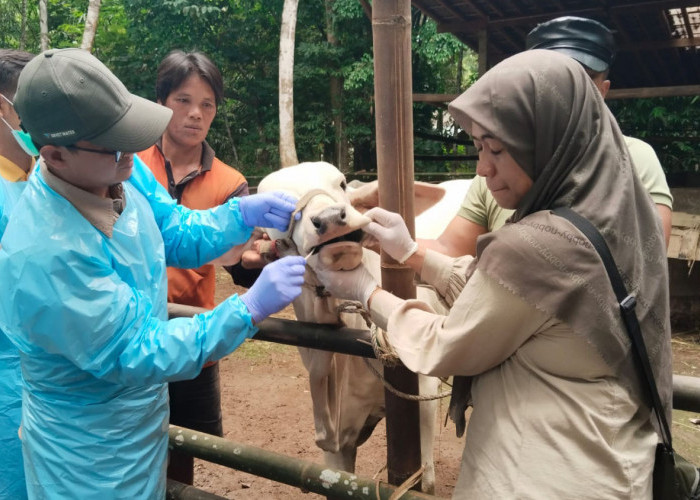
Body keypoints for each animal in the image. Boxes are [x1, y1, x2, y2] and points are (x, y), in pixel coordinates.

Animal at [256, 163, 470, 492]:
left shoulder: (422, 398)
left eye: (342, 184)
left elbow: (426, 482)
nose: (331, 218)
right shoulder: (337, 442)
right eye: (275, 210)